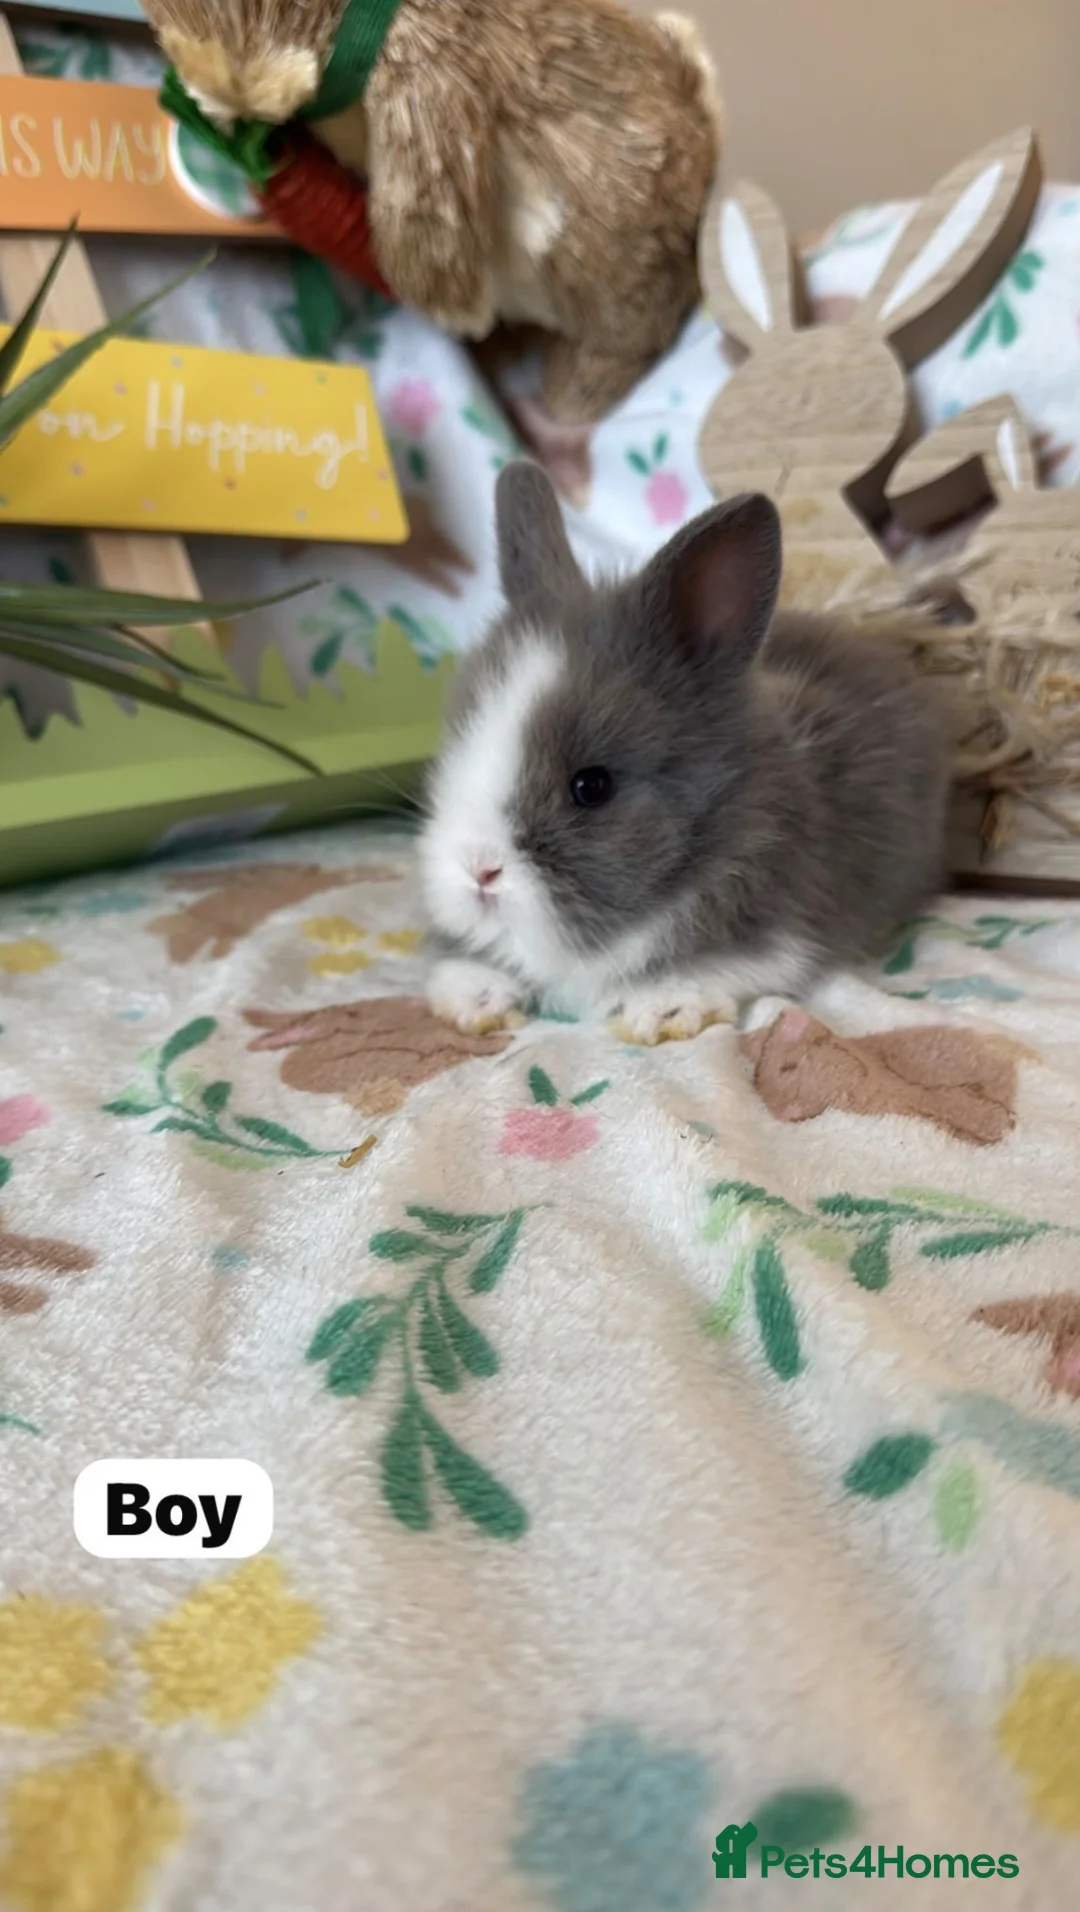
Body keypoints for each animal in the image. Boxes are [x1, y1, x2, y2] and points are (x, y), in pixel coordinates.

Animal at [418, 461, 951, 1044]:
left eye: (591, 787)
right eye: (456, 752)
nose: (478, 871)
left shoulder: (777, 930)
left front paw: (662, 1009)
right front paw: (475, 997)